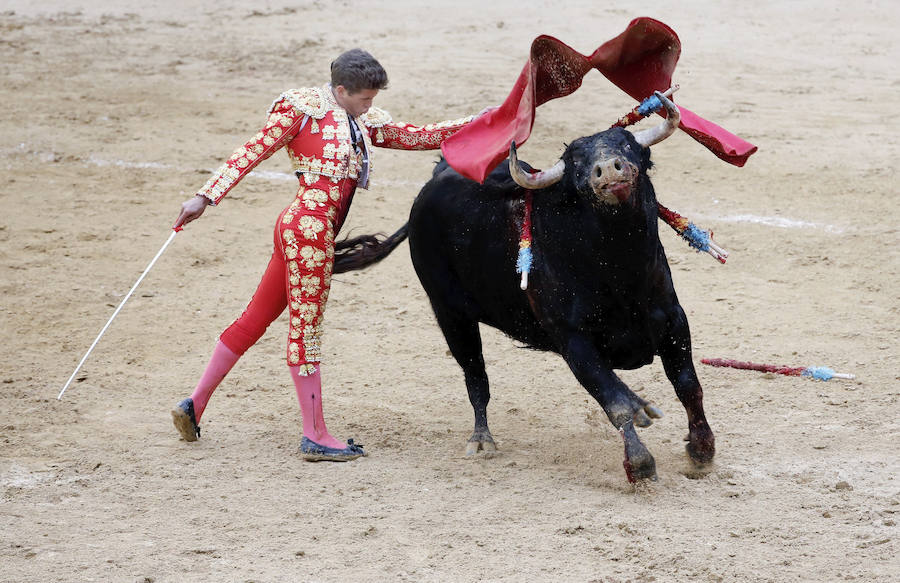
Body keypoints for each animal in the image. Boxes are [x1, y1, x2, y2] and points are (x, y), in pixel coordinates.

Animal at [334, 93, 712, 482]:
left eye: (626, 145)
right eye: (576, 163)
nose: (608, 168)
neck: (619, 267)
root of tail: (435, 178)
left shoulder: (673, 319)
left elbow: (687, 384)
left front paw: (701, 452)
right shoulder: (572, 339)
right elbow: (616, 400)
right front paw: (639, 460)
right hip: (450, 313)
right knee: (476, 377)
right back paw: (481, 440)